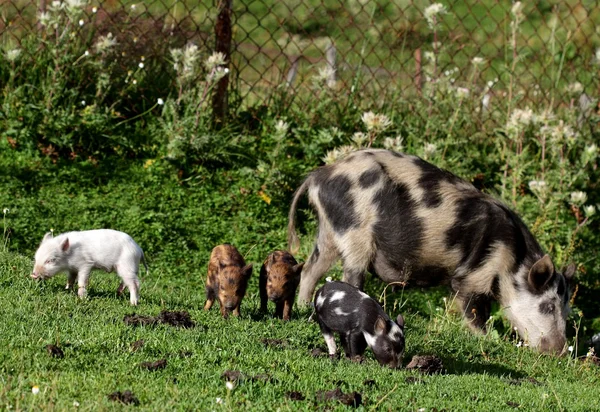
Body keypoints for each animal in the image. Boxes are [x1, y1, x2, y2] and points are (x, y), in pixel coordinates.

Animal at [288, 150, 580, 352]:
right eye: (547, 306)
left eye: (566, 310)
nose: (559, 352)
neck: (512, 260)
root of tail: (319, 176)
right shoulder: (474, 275)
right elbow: (475, 312)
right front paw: (488, 342)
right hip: (354, 232)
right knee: (350, 276)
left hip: (329, 231)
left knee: (310, 269)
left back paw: (304, 308)